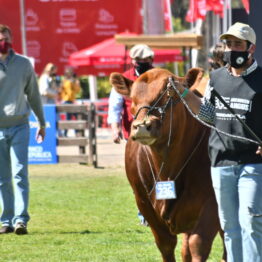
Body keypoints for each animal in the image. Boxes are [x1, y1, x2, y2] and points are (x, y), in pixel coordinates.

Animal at [109, 68, 226, 262]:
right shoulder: (143, 201)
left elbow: (199, 244)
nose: (142, 126)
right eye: (132, 99)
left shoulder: (212, 201)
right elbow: (166, 244)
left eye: (170, 96)